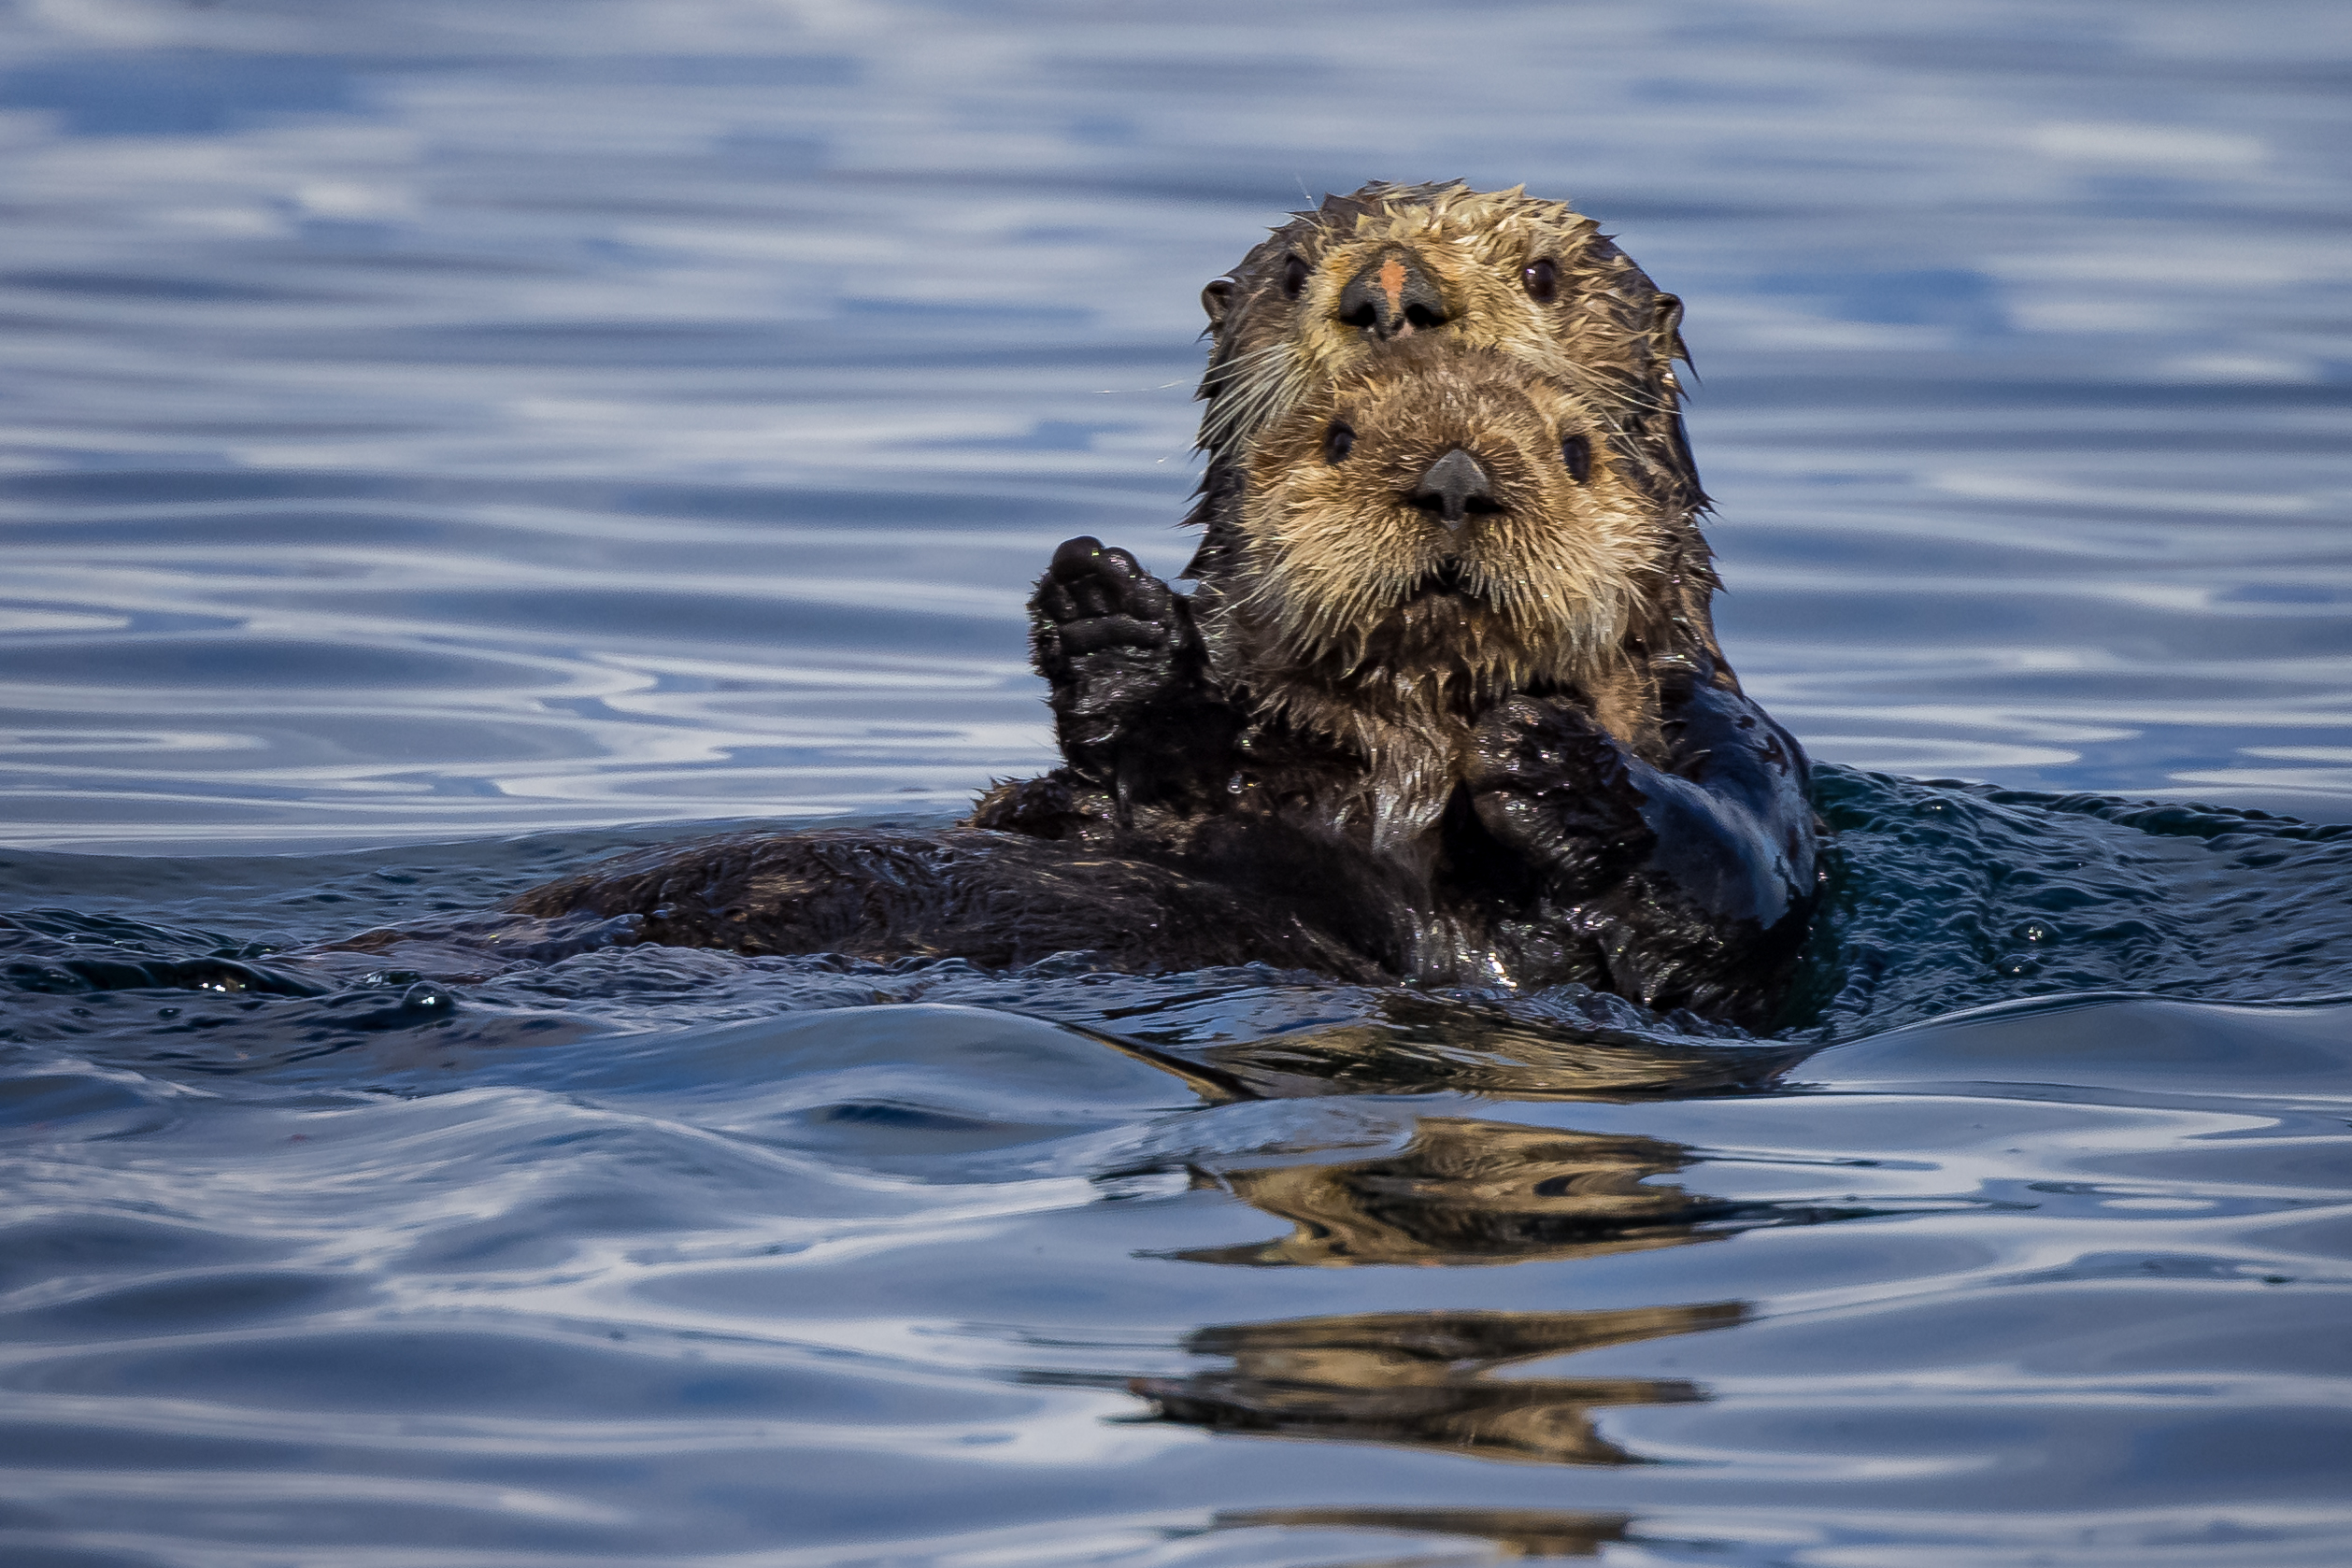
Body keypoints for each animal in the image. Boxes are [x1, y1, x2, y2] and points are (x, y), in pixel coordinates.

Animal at [508, 186, 1818, 1024]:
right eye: (1293, 272)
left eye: (1541, 276)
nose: (1390, 292)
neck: (1401, 746)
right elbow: (1079, 795)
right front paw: (1113, 628)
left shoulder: (1727, 732)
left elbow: (1735, 902)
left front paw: (1554, 766)